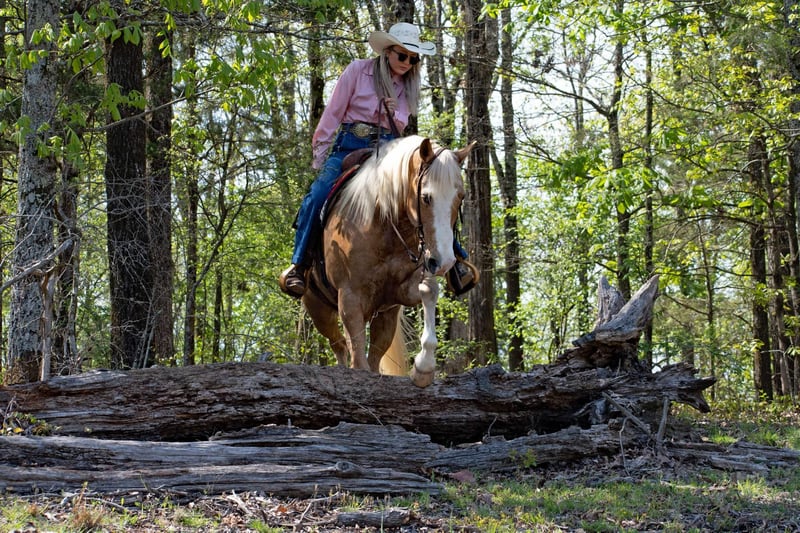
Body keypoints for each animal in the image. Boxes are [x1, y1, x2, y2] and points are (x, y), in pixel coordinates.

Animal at [301, 135, 474, 387]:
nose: (444, 262)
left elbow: (429, 290)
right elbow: (357, 357)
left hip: (384, 317)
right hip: (318, 308)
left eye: (460, 197)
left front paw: (423, 367)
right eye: (426, 197)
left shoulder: (398, 294)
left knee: (372, 354)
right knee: (339, 345)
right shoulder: (350, 297)